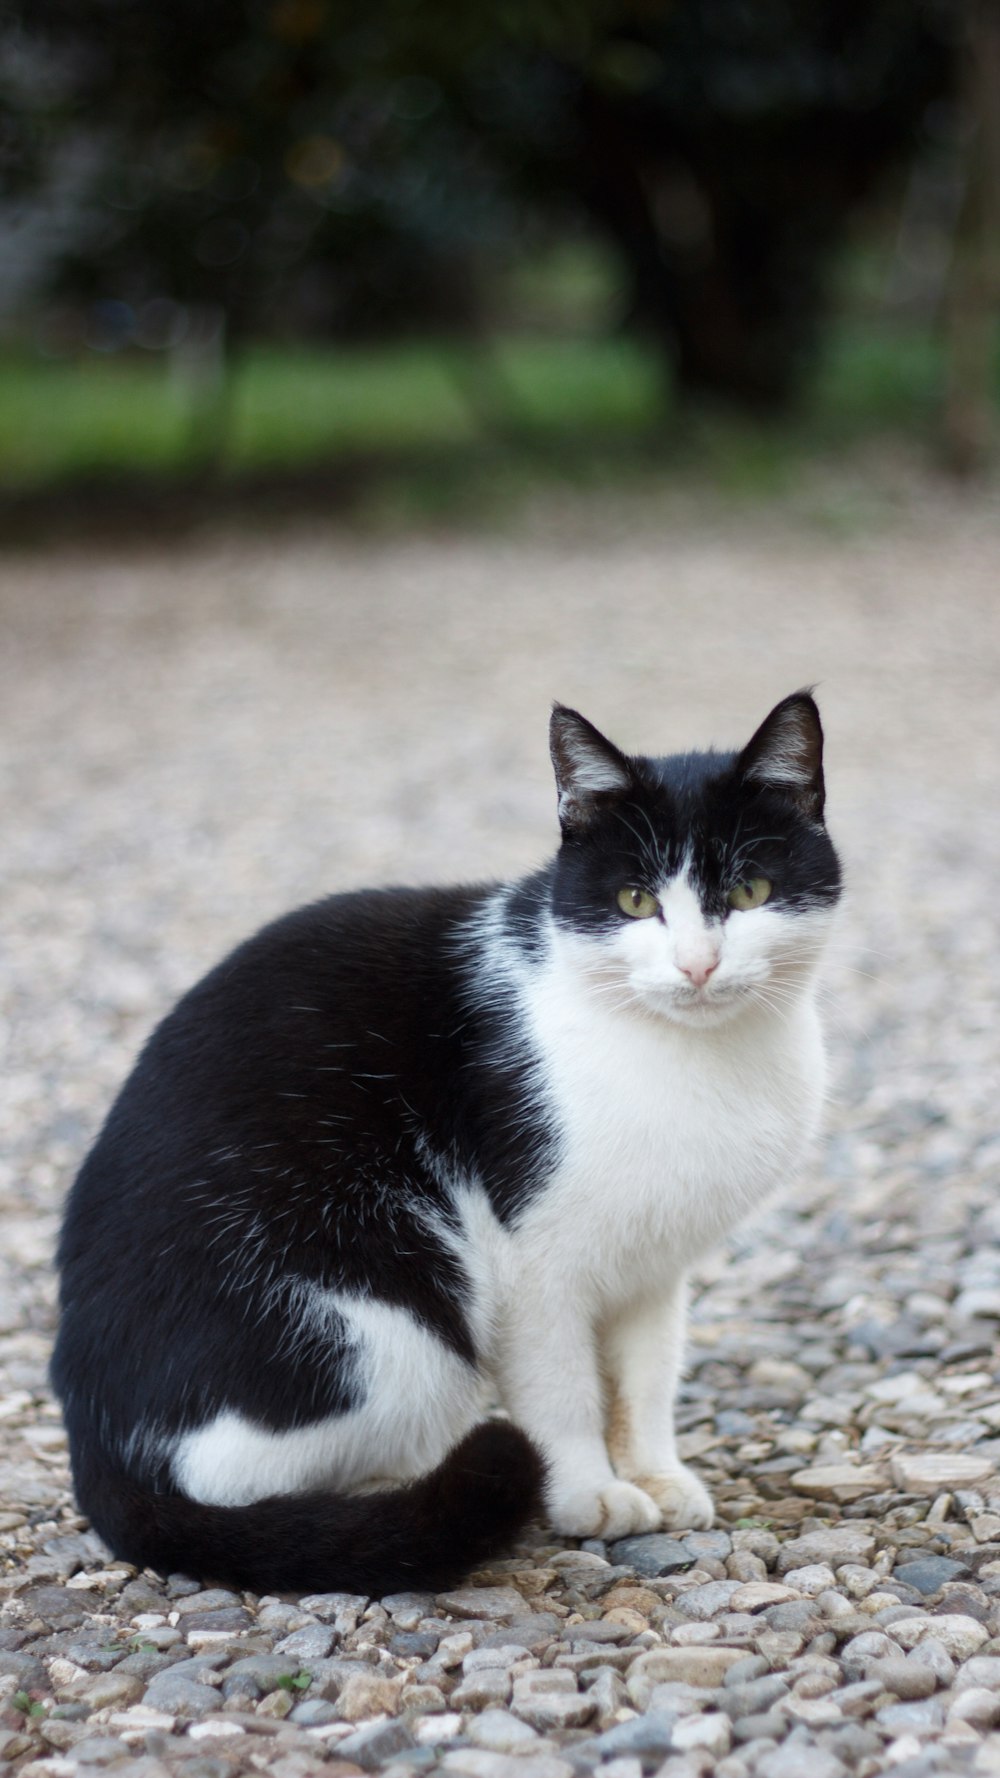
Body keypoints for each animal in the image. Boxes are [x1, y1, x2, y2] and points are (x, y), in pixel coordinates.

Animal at [50, 689, 836, 1600]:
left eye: (750, 889)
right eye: (637, 902)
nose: (698, 966)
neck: (695, 1058)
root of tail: (94, 1435)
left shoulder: (654, 1265)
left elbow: (645, 1380)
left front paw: (655, 1475)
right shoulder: (533, 1263)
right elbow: (563, 1390)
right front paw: (589, 1494)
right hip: (383, 1321)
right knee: (238, 1477)